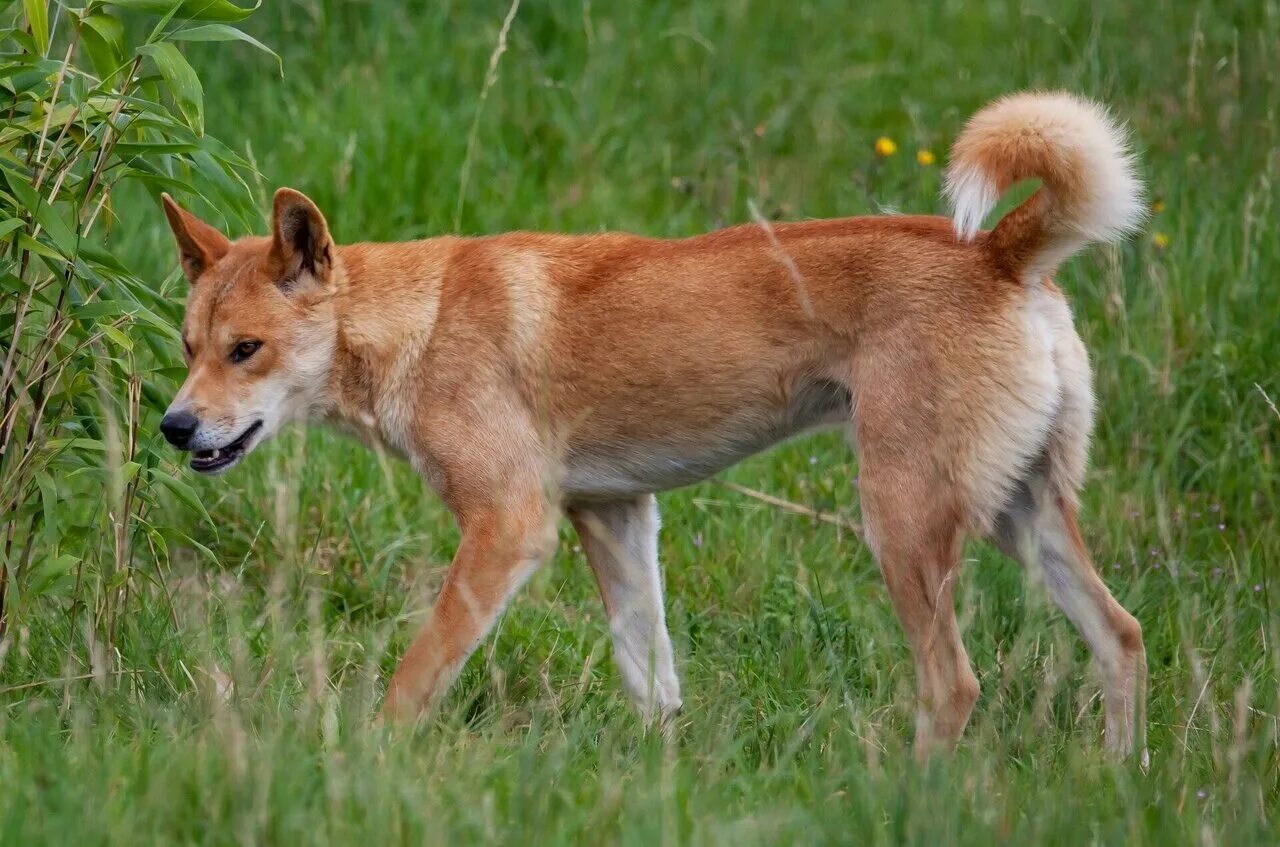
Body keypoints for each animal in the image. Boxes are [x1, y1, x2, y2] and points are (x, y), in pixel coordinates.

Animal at [160, 91, 1152, 757]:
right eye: (187, 345)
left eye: (246, 349)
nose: (173, 425)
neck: (423, 320)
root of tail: (1000, 253)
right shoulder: (615, 516)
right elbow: (653, 682)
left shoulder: (508, 526)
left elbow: (416, 675)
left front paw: (371, 758)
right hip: (1024, 514)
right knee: (1122, 636)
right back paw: (1117, 781)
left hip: (904, 521)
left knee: (953, 685)